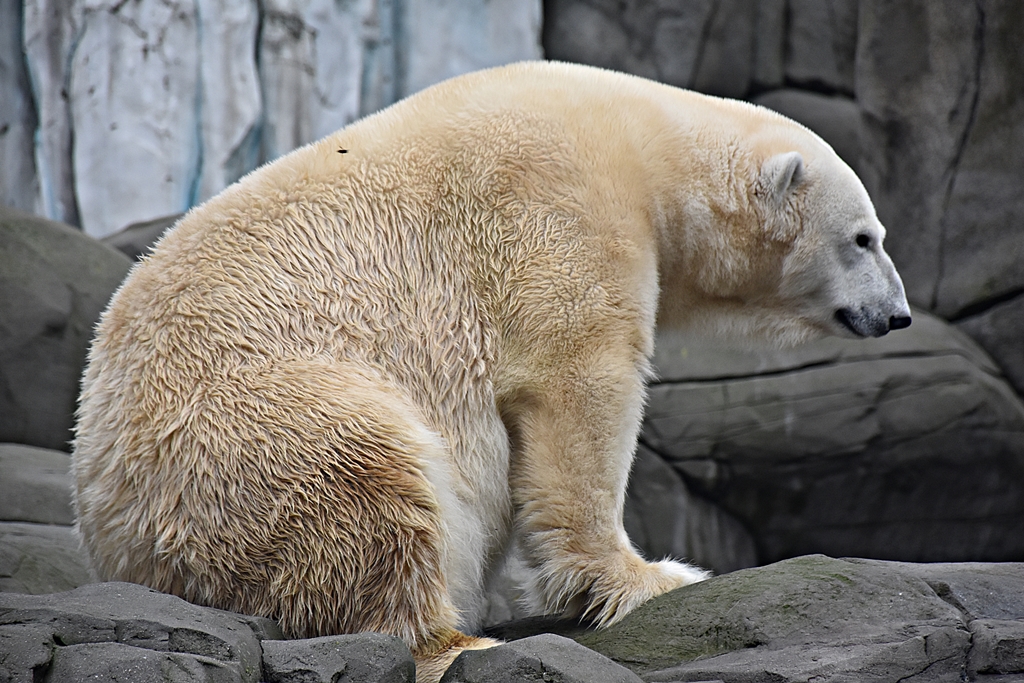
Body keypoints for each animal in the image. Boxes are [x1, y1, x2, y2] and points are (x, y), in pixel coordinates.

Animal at [72, 61, 911, 681]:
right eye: (864, 237)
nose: (898, 314)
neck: (646, 146)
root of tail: (114, 531)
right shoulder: (559, 206)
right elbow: (578, 385)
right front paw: (654, 575)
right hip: (243, 431)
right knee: (366, 477)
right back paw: (454, 640)